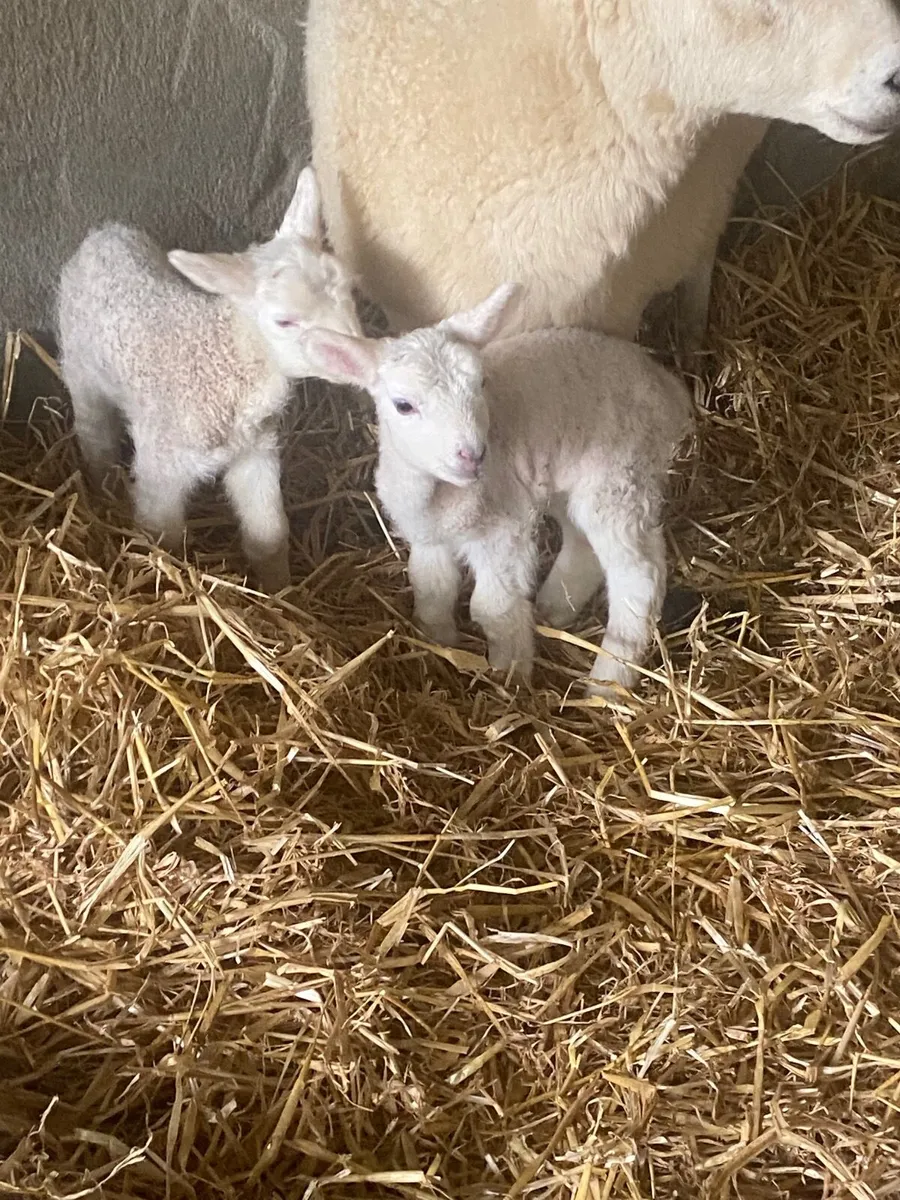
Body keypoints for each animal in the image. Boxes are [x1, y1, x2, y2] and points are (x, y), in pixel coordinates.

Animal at [56, 166, 361, 593]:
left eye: (349, 291)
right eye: (284, 321)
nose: (359, 356)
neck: (222, 361)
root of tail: (104, 233)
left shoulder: (255, 452)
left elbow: (269, 534)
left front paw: (277, 589)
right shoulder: (163, 464)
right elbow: (161, 535)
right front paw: (161, 578)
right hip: (81, 369)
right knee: (94, 435)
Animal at [300, 284, 693, 697]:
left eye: (481, 384)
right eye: (403, 406)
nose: (472, 454)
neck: (441, 498)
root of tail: (667, 387)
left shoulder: (506, 528)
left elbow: (493, 607)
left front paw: (510, 675)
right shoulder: (429, 537)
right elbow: (431, 588)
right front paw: (440, 643)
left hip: (619, 475)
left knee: (639, 577)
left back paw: (607, 683)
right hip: (574, 480)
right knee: (583, 542)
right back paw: (554, 608)